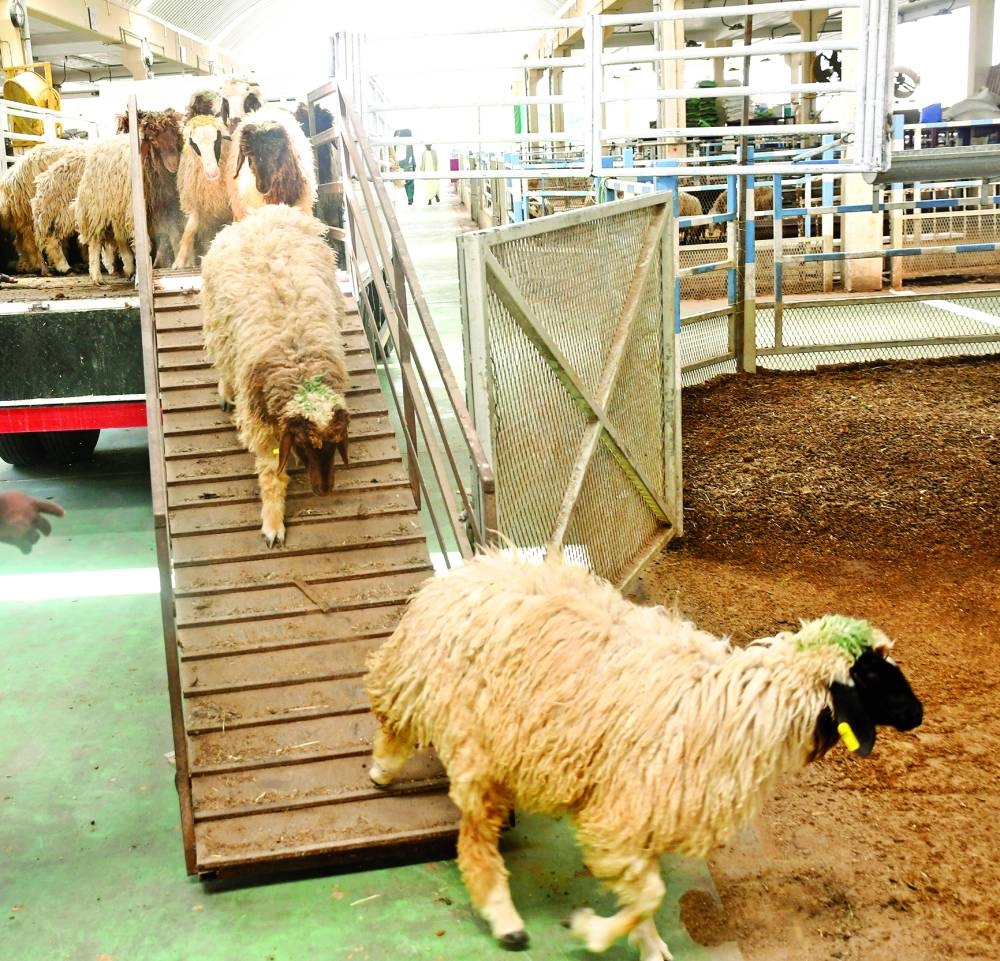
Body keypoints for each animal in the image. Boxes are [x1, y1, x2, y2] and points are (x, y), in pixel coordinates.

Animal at [171, 114, 233, 269]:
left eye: (218, 139)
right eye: (193, 144)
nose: (212, 172)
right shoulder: (195, 205)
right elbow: (189, 231)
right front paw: (179, 261)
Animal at [201, 204, 349, 548]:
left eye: (336, 443)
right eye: (302, 443)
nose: (324, 491)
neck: (301, 369)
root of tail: (263, 214)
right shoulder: (261, 426)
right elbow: (271, 474)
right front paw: (273, 523)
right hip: (218, 326)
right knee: (223, 361)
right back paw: (226, 392)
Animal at [365, 548, 923, 961]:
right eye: (873, 675)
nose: (919, 714)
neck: (740, 708)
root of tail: (467, 571)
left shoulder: (648, 813)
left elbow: (646, 894)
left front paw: (647, 945)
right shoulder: (621, 814)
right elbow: (650, 893)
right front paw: (592, 931)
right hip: (469, 732)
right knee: (469, 831)